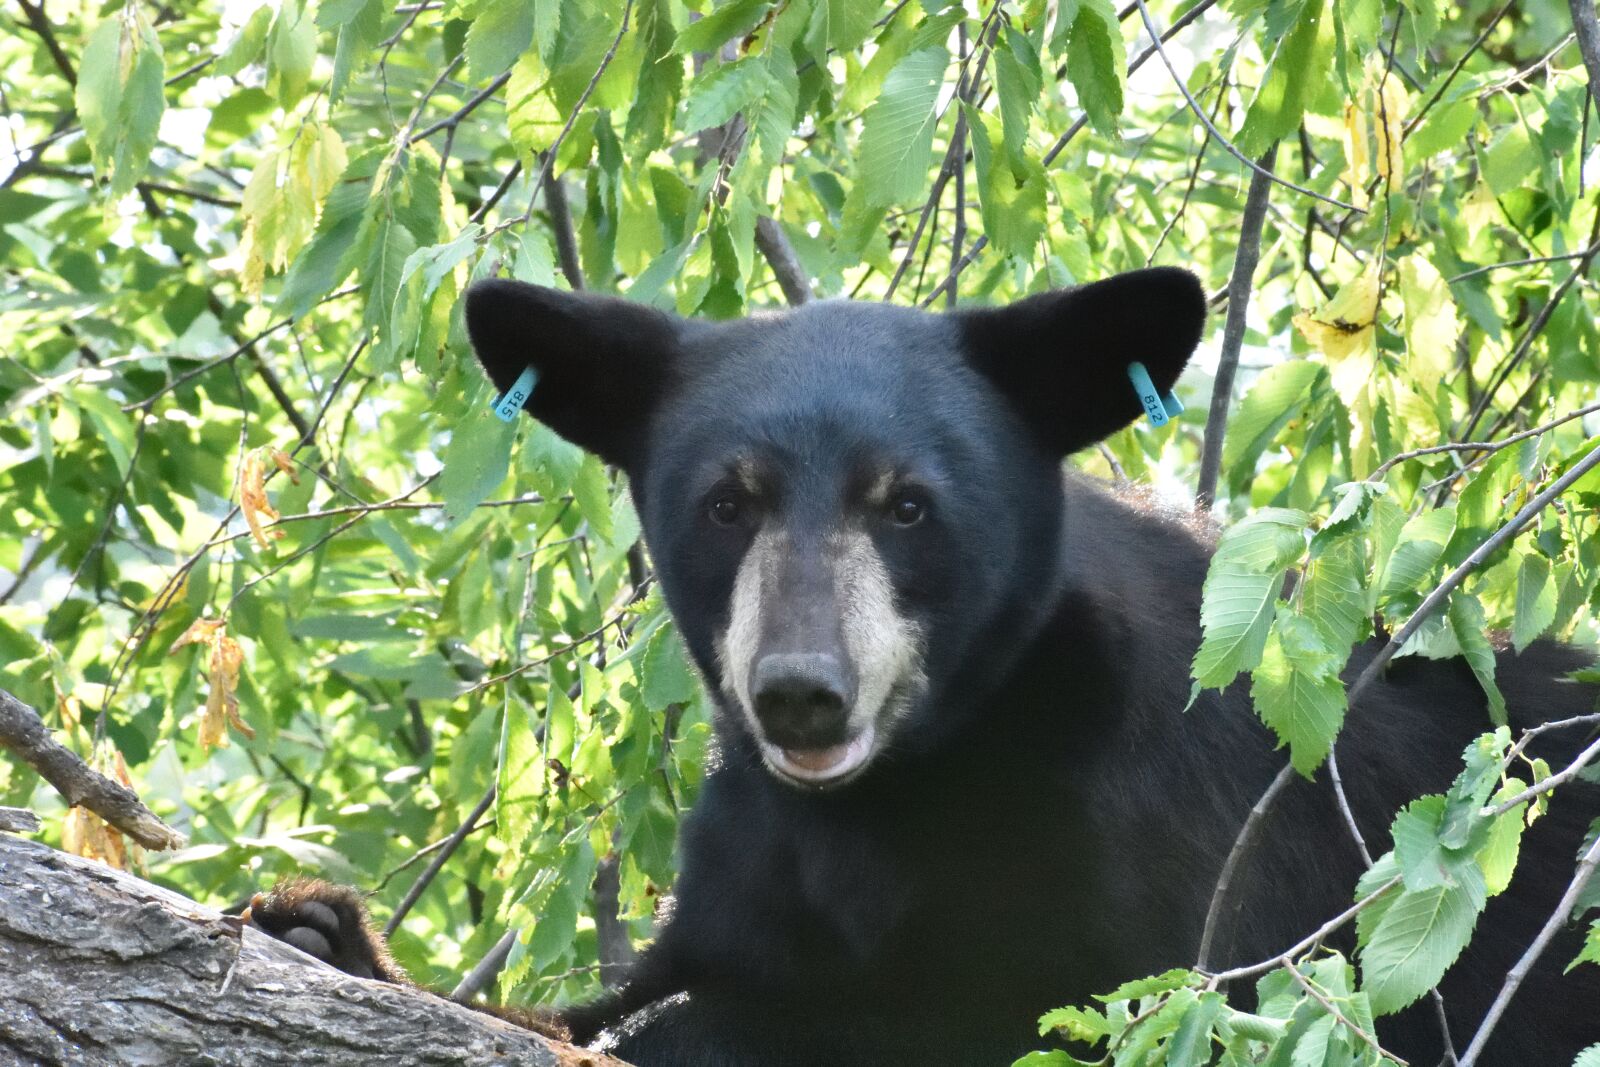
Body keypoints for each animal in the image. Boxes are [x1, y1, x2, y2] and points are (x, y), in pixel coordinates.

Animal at [249, 268, 1600, 1066]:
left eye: (906, 504)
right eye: (726, 502)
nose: (801, 689)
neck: (900, 790)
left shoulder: (1179, 857)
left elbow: (1014, 1008)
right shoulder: (754, 855)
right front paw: (323, 929)